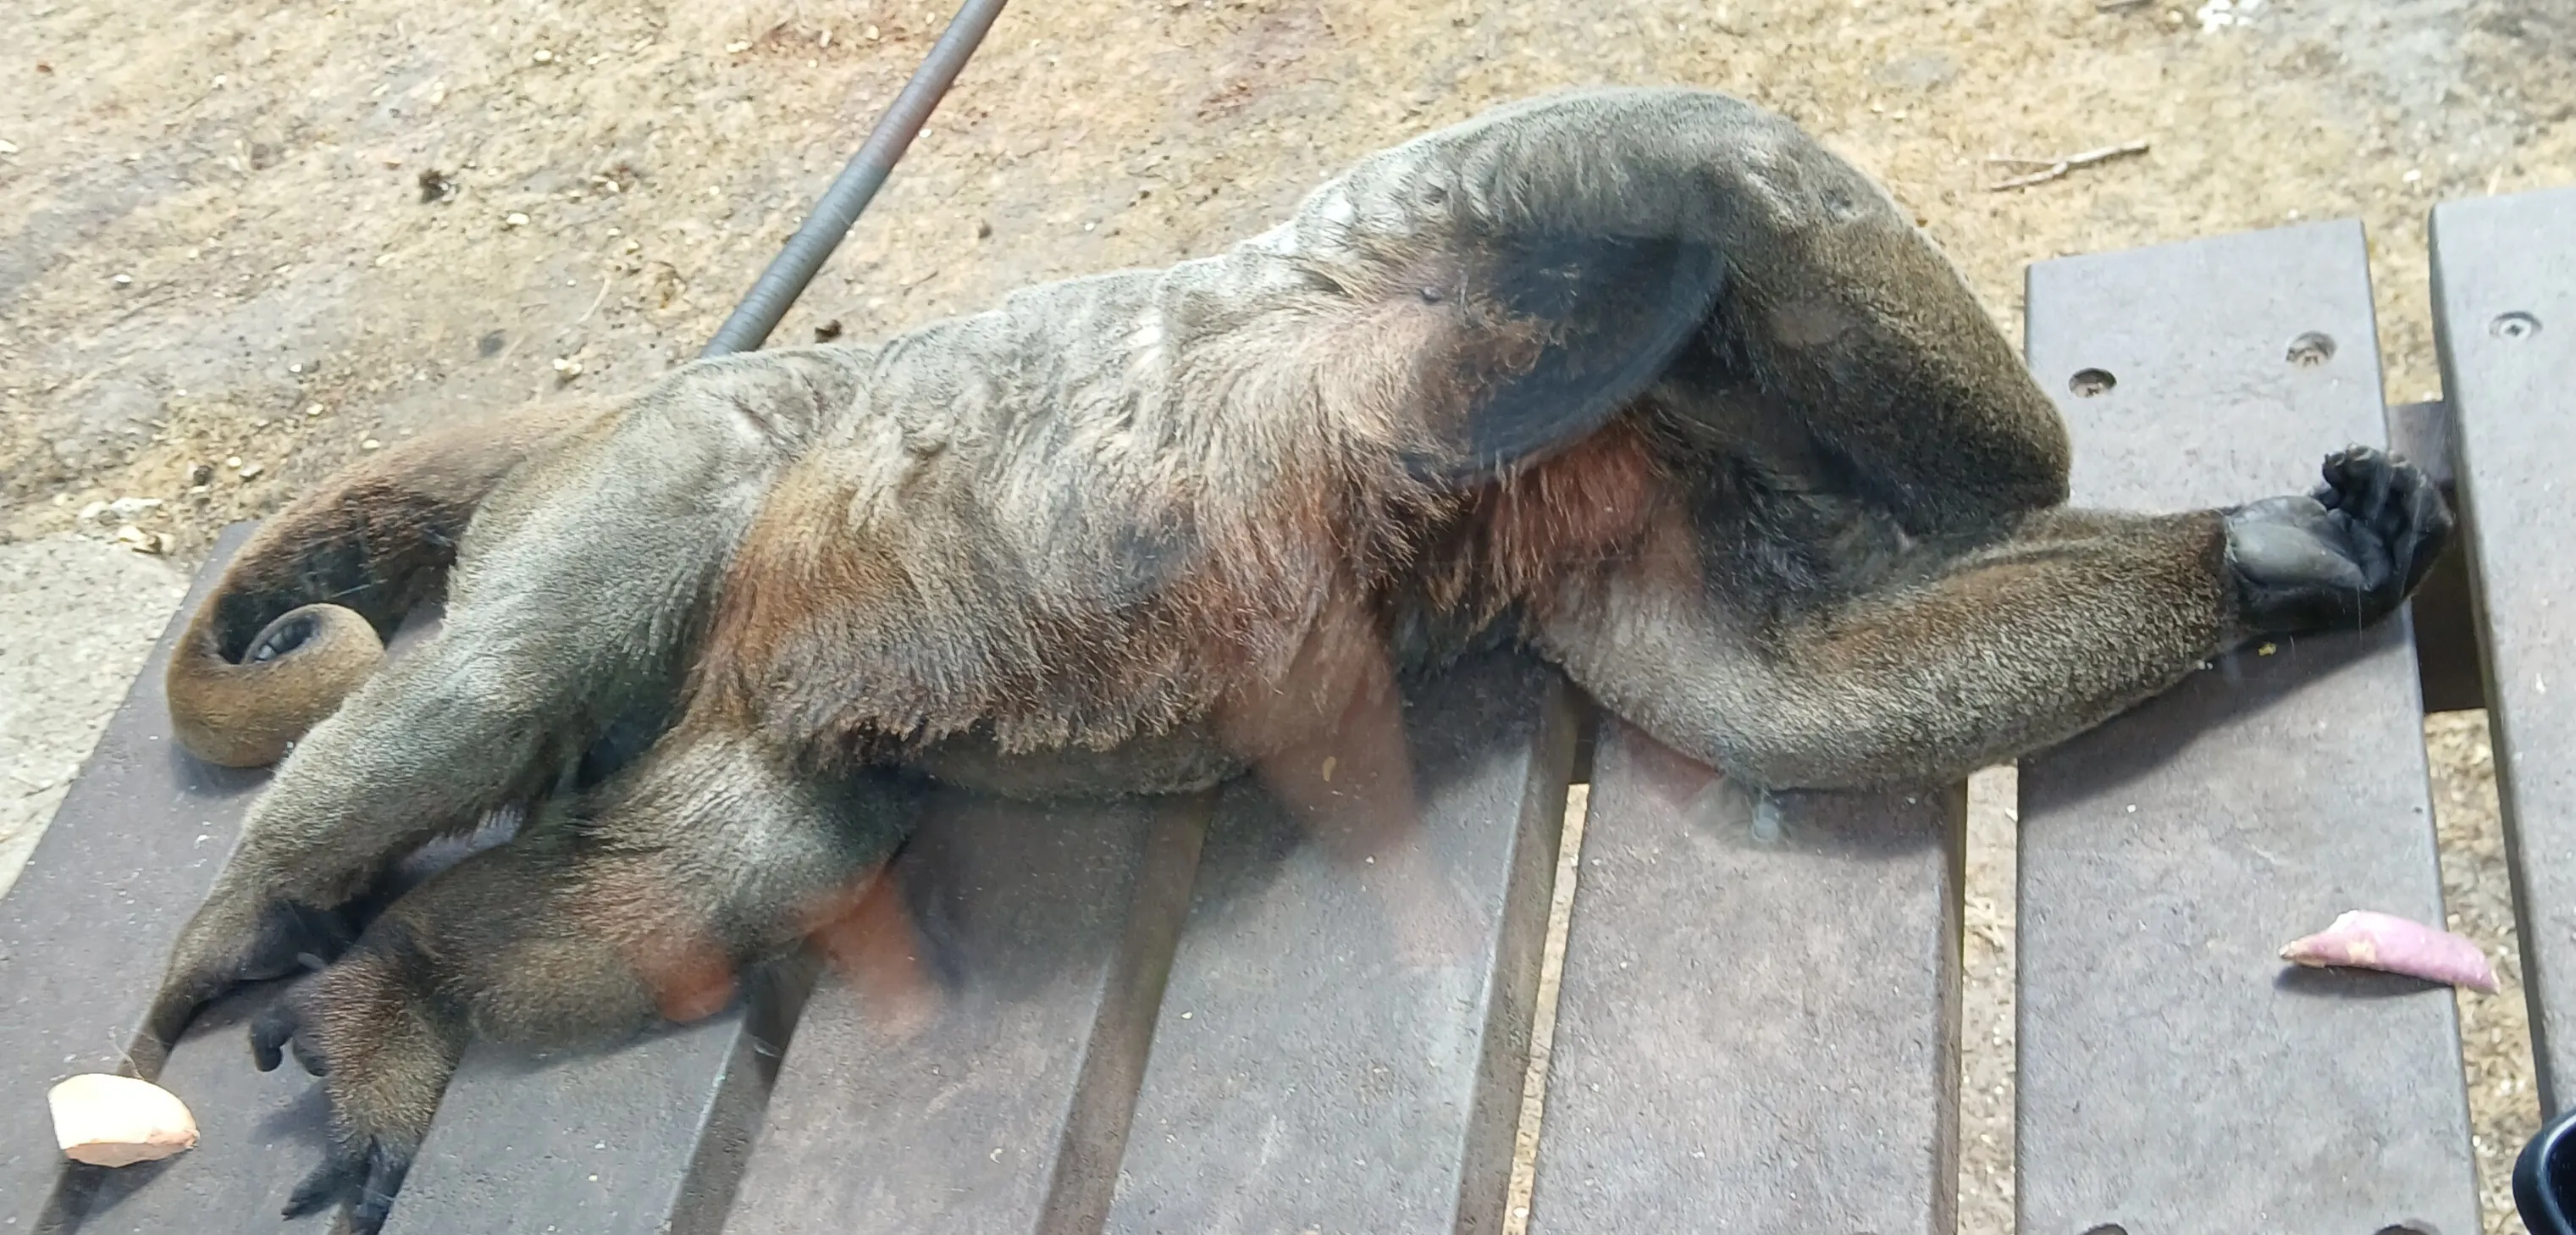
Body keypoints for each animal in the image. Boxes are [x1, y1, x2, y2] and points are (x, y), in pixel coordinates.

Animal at [134, 86, 2449, 1233]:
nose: (1730, 376)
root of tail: (662, 394)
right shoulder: (1495, 221)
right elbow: (1683, 146)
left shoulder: (1634, 488)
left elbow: (1770, 695)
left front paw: (2275, 556)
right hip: (680, 485)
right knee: (488, 704)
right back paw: (249, 922)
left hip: (720, 641)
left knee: (748, 859)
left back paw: (396, 997)